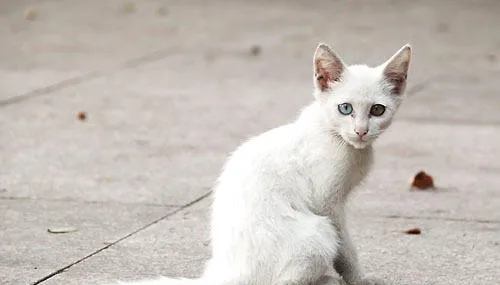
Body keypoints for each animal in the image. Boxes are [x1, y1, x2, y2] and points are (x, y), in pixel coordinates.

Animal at [111, 42, 412, 284]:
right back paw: (326, 280)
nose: (361, 131)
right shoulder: (327, 203)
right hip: (317, 234)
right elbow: (346, 249)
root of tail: (224, 273)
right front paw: (359, 279)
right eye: (345, 108)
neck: (337, 138)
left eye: (377, 110)